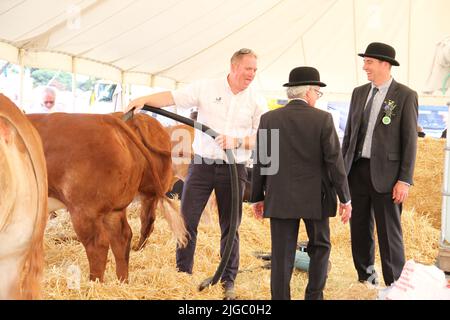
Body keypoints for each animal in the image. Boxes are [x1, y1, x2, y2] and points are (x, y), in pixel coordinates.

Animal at [27, 112, 186, 282]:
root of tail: (107, 119)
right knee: (124, 236)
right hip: (117, 208)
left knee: (99, 243)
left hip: (85, 210)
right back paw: (122, 281)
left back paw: (94, 282)